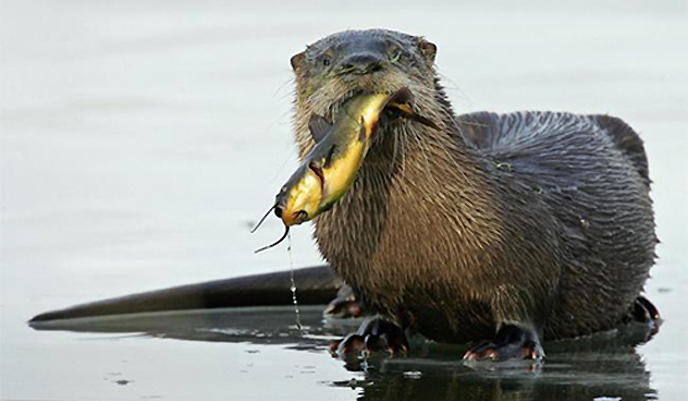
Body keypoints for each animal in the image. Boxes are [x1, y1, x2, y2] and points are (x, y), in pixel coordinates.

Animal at [288, 29, 658, 360]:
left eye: (397, 53)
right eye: (326, 59)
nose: (362, 62)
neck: (415, 243)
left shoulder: (527, 254)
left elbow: (524, 309)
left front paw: (503, 347)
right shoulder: (366, 277)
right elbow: (381, 311)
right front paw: (371, 336)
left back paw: (640, 308)